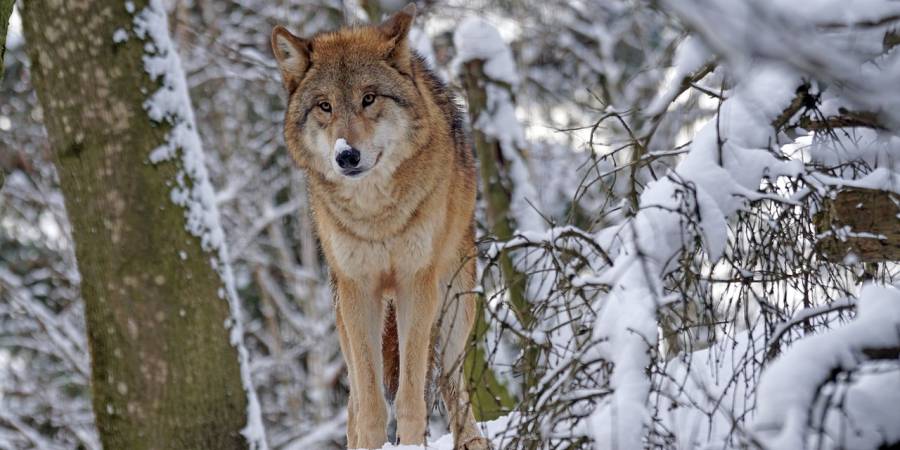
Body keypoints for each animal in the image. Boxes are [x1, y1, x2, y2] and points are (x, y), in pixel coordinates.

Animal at [270, 4, 488, 450]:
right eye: (325, 106)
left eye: (368, 98)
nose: (346, 156)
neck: (376, 216)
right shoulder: (359, 290)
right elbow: (370, 405)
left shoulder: (414, 283)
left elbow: (410, 398)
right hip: (343, 319)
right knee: (354, 402)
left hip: (456, 304)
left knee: (450, 382)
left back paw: (473, 440)